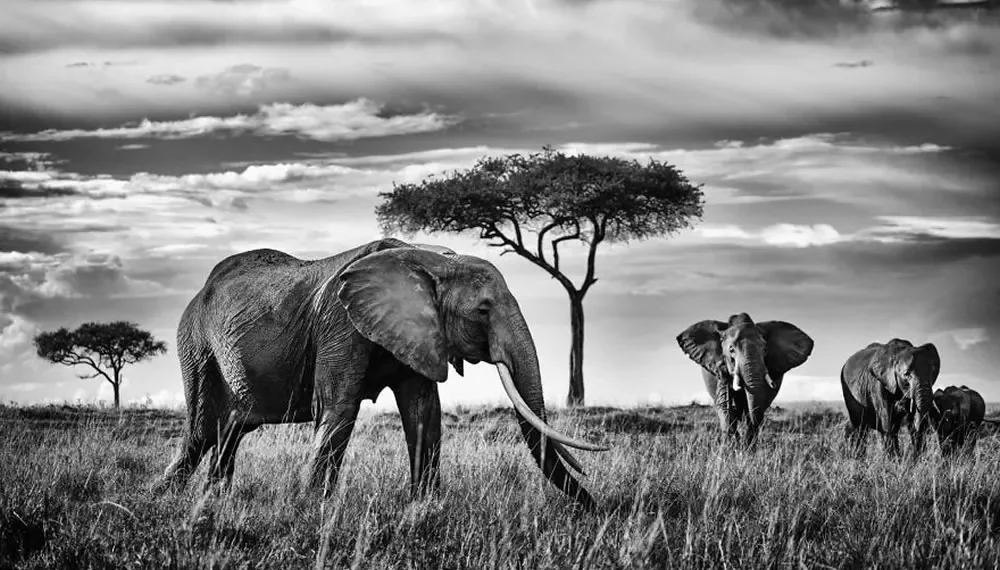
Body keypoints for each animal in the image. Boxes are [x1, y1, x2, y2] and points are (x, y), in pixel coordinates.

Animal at [157, 238, 608, 508]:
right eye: (483, 311)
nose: (599, 508)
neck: (428, 258)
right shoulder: (341, 324)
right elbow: (338, 409)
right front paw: (311, 508)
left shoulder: (420, 333)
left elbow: (423, 411)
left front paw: (425, 507)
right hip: (196, 345)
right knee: (200, 431)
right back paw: (163, 498)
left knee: (229, 431)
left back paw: (210, 501)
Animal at [676, 313, 814, 447]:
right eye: (731, 350)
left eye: (765, 350)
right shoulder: (720, 366)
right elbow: (723, 404)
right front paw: (731, 446)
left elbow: (756, 406)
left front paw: (747, 447)